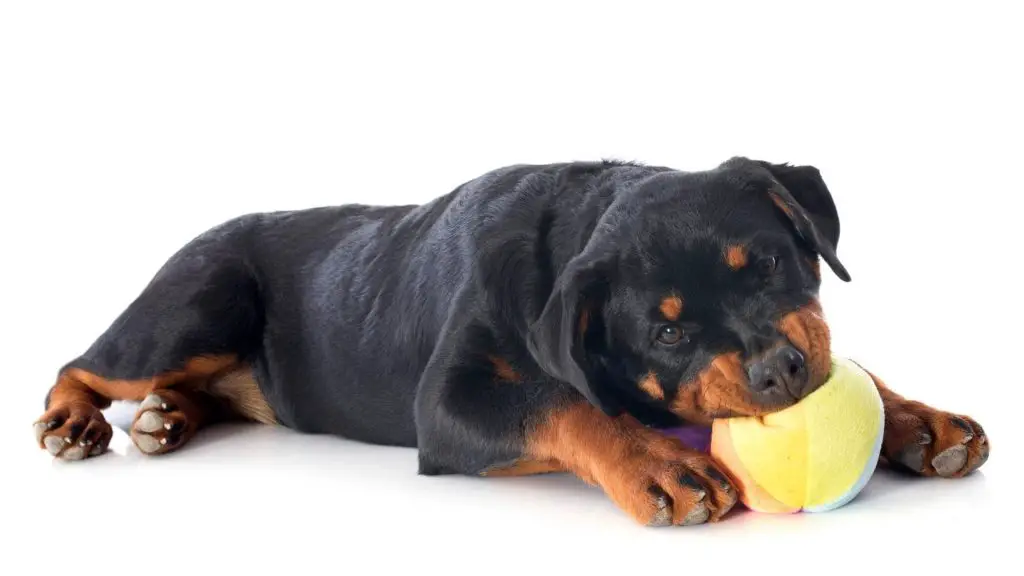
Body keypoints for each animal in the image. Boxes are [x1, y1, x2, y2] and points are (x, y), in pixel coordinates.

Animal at [34, 156, 991, 524]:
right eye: (668, 329)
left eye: (765, 264)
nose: (777, 370)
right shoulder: (449, 403)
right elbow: (561, 402)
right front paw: (658, 463)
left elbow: (859, 370)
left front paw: (920, 421)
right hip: (203, 297)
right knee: (84, 362)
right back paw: (78, 422)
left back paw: (165, 420)